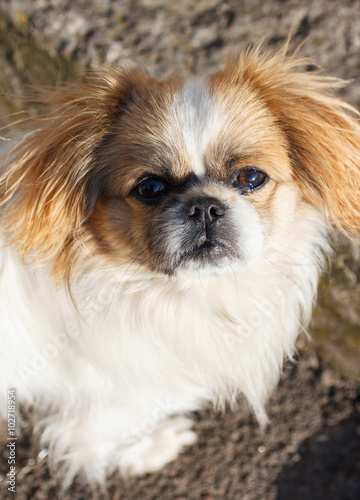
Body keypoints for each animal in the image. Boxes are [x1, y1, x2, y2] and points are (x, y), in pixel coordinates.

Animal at [0, 45, 360, 486]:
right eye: (150, 187)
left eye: (251, 177)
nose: (205, 205)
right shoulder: (107, 403)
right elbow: (105, 438)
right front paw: (149, 450)